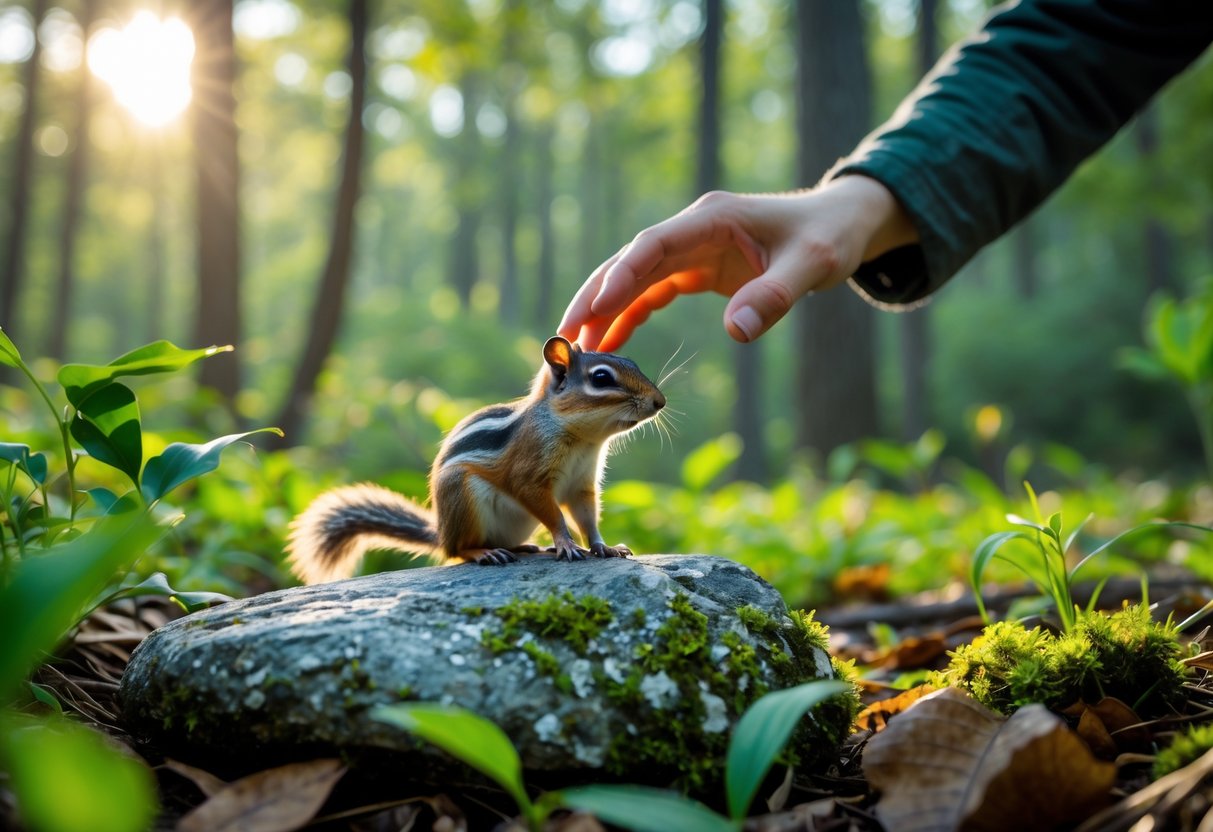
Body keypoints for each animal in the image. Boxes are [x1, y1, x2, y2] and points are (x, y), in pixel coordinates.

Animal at [286, 335, 667, 584]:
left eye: (632, 363)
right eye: (601, 377)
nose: (659, 401)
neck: (584, 440)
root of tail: (440, 530)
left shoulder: (582, 484)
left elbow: (587, 517)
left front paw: (604, 546)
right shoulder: (530, 473)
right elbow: (553, 512)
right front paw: (565, 543)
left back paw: (526, 547)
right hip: (460, 495)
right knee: (457, 551)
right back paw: (483, 553)